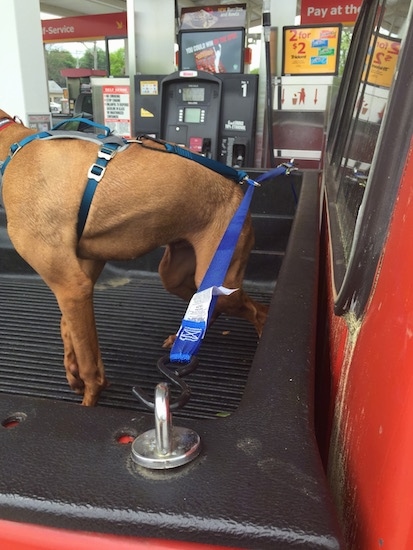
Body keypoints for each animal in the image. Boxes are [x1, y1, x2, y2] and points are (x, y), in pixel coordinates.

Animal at [0, 111, 268, 406]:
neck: (13, 145)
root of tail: (241, 189)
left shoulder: (71, 285)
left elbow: (89, 363)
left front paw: (90, 398)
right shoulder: (83, 274)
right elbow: (69, 330)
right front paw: (72, 372)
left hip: (218, 280)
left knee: (260, 311)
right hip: (179, 276)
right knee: (210, 308)